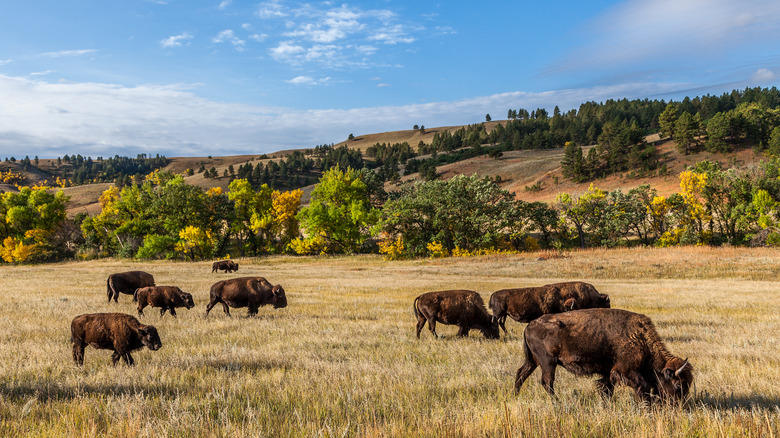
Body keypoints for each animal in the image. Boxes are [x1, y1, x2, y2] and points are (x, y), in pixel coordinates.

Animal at [516, 308, 692, 404]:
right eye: (678, 385)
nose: (677, 406)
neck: (640, 338)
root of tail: (529, 326)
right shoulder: (625, 370)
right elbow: (643, 386)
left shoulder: (609, 372)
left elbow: (606, 388)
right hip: (548, 362)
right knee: (547, 382)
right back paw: (557, 401)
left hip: (533, 361)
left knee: (521, 374)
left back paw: (515, 395)